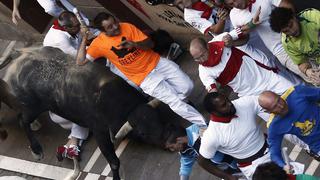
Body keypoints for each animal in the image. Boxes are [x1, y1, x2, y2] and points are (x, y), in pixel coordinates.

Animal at [3, 46, 185, 180]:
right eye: (142, 133)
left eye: (158, 118)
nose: (176, 140)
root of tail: (19, 54)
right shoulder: (100, 132)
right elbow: (114, 162)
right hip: (32, 108)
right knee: (22, 120)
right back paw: (37, 150)